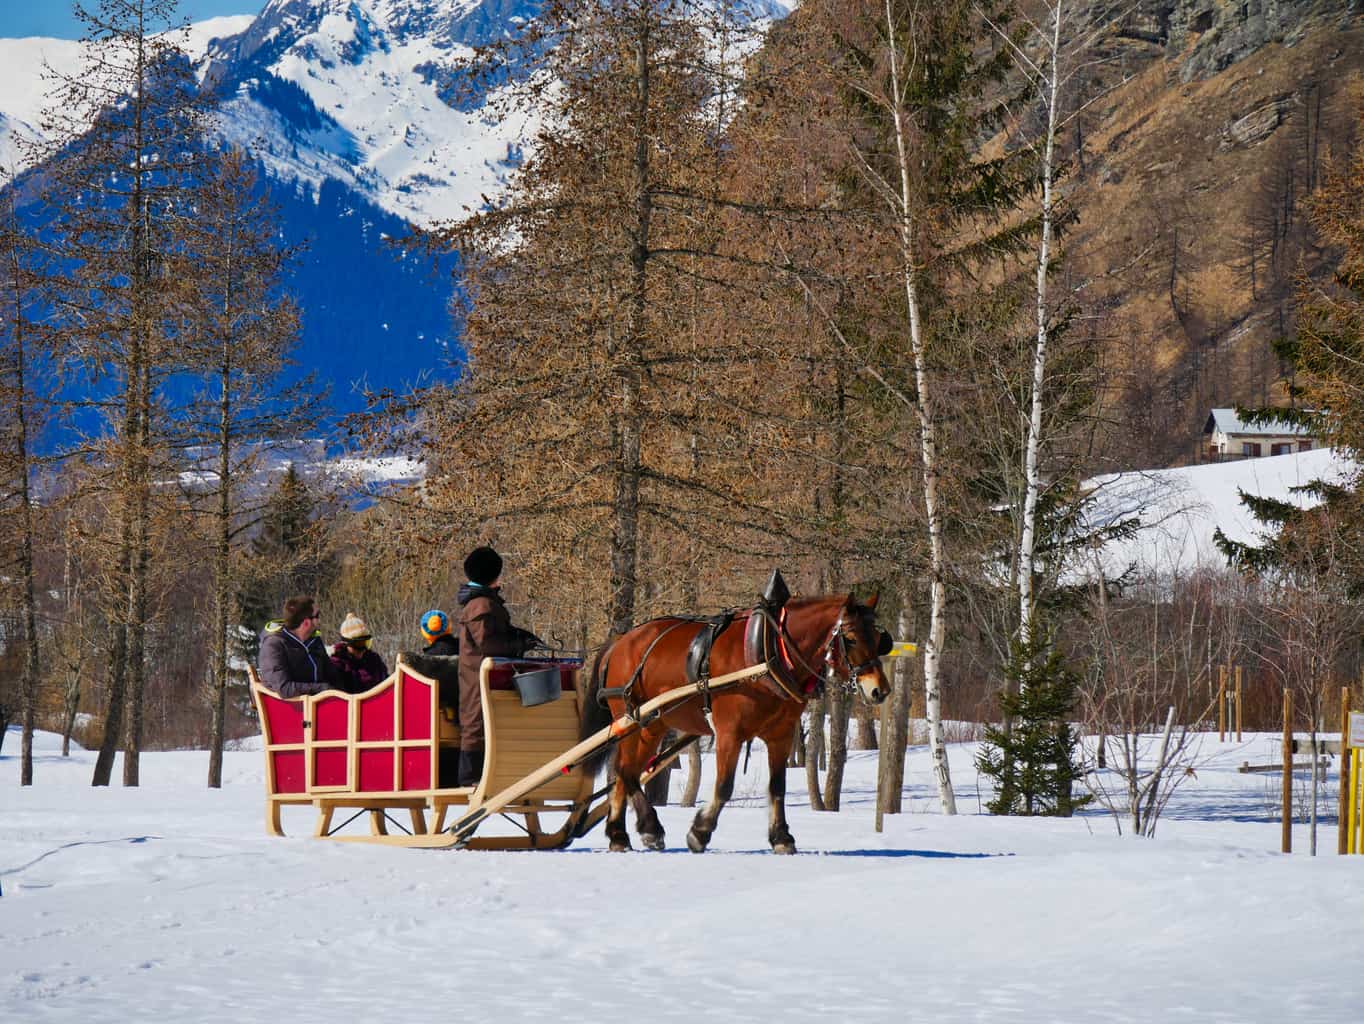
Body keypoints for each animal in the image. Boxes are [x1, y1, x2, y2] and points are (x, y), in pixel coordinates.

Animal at [578, 578, 889, 856]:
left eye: (878, 639)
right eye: (850, 639)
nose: (880, 690)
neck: (767, 652)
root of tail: (621, 642)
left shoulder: (781, 735)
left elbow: (777, 787)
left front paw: (781, 837)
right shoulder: (730, 733)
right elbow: (724, 786)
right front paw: (700, 832)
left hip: (650, 725)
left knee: (623, 772)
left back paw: (619, 835)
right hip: (635, 720)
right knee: (625, 770)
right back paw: (649, 827)